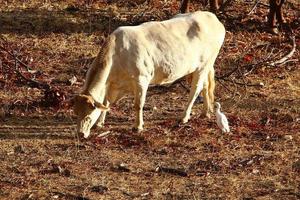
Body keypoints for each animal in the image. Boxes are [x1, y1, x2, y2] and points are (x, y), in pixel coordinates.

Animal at [73, 10, 225, 138]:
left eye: (89, 114)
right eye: (76, 113)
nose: (80, 134)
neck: (117, 56)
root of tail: (212, 17)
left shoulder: (141, 79)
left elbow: (138, 104)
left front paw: (138, 126)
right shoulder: (112, 85)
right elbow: (106, 102)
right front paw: (100, 123)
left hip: (203, 65)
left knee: (195, 89)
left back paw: (184, 117)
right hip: (200, 68)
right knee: (205, 86)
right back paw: (205, 113)